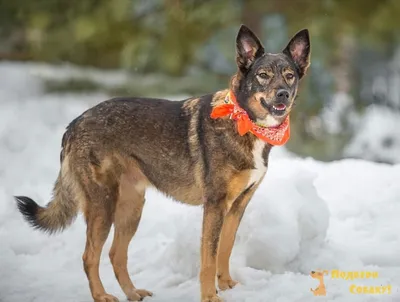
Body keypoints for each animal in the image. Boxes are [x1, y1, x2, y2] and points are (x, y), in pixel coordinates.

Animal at [14, 24, 310, 300]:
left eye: (289, 76)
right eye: (263, 75)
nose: (283, 94)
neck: (243, 120)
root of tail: (74, 123)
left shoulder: (237, 206)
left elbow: (224, 251)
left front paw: (227, 286)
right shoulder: (215, 206)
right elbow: (208, 259)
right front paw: (210, 296)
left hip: (132, 208)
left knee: (116, 254)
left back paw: (133, 293)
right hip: (103, 205)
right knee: (90, 256)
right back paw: (102, 296)